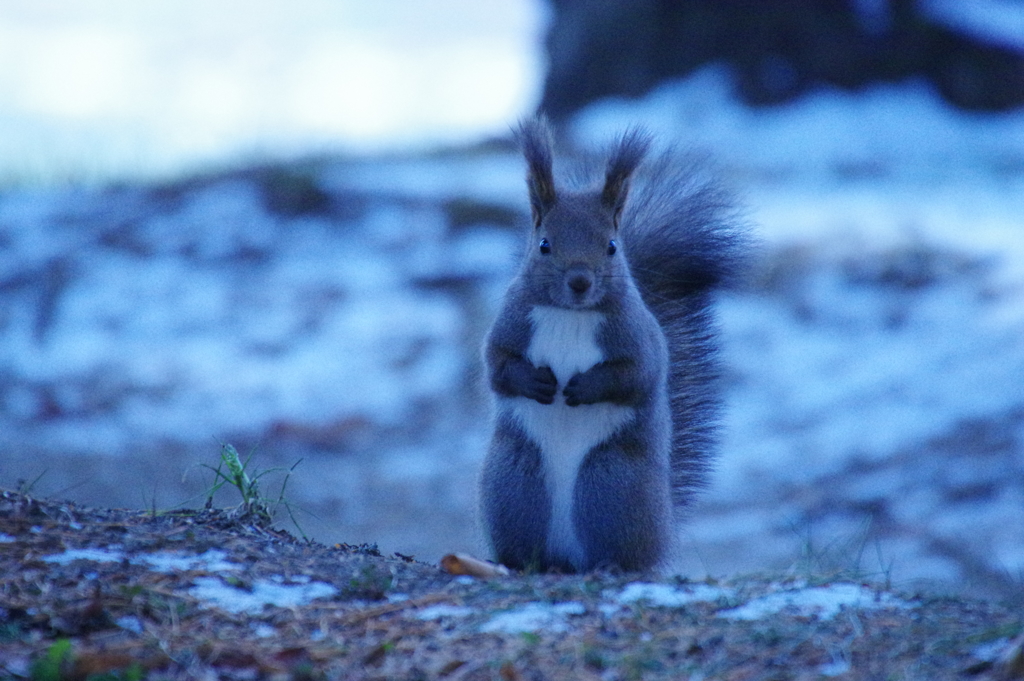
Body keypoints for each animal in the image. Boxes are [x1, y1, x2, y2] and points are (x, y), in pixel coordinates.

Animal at [479, 118, 745, 573]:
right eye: (544, 244)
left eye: (611, 246)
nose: (580, 281)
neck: (571, 314)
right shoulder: (510, 324)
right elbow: (498, 366)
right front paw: (536, 383)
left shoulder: (640, 338)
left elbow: (637, 375)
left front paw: (583, 387)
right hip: (515, 484)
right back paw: (525, 562)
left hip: (610, 483)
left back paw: (610, 564)